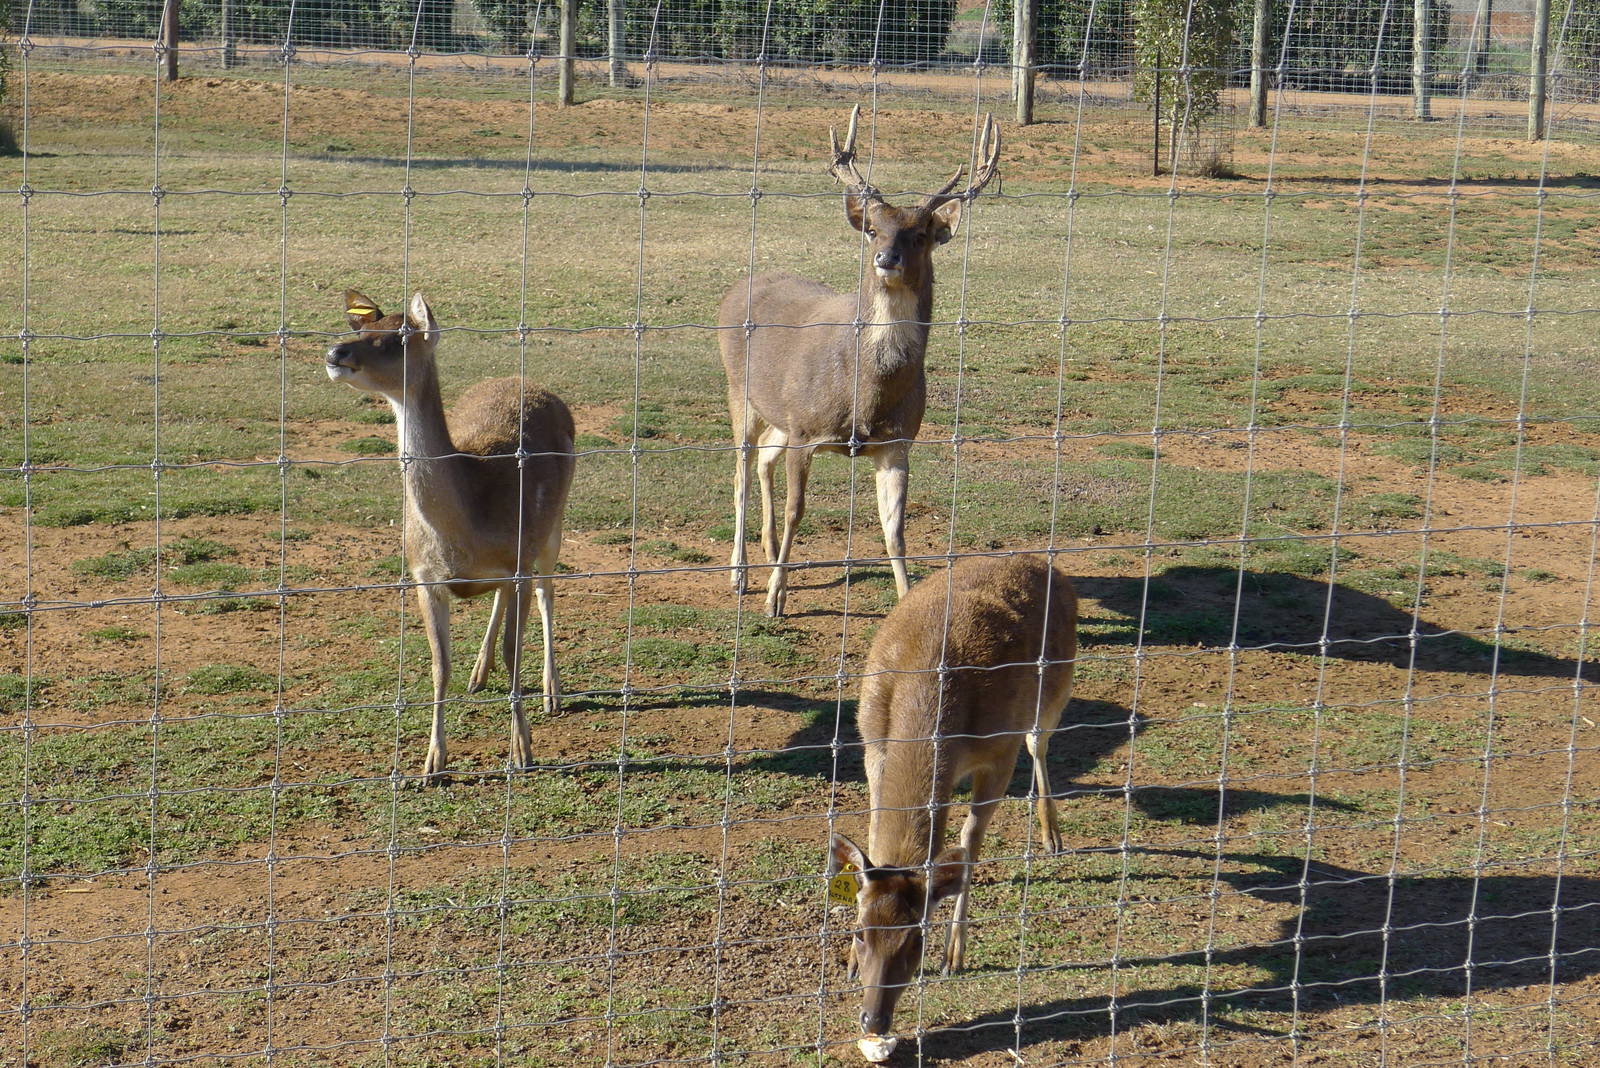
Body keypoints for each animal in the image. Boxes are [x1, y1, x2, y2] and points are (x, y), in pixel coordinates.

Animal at [324, 290, 575, 784]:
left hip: (552, 525)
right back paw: (480, 672)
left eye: (399, 337)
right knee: (503, 598)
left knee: (547, 592)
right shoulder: (423, 576)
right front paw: (432, 764)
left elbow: (516, 652)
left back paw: (552, 692)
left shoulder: (518, 556)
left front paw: (523, 751)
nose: (335, 352)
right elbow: (440, 666)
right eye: (363, 328)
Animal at [719, 105, 1000, 617]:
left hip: (778, 413)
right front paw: (775, 599)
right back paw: (741, 574)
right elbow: (797, 511)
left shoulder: (898, 441)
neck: (865, 396)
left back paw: (767, 552)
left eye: (921, 235)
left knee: (764, 459)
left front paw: (906, 600)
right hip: (739, 391)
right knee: (740, 472)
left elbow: (895, 530)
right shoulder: (807, 430)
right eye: (873, 229)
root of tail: (737, 287)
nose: (886, 258)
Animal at [827, 553, 1078, 1058]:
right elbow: (873, 833)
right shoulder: (870, 743)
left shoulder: (998, 752)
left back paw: (1052, 836)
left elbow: (969, 841)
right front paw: (847, 965)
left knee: (1039, 742)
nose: (874, 1019)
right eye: (860, 931)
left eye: (916, 938)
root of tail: (1042, 563)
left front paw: (954, 954)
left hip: (1057, 686)